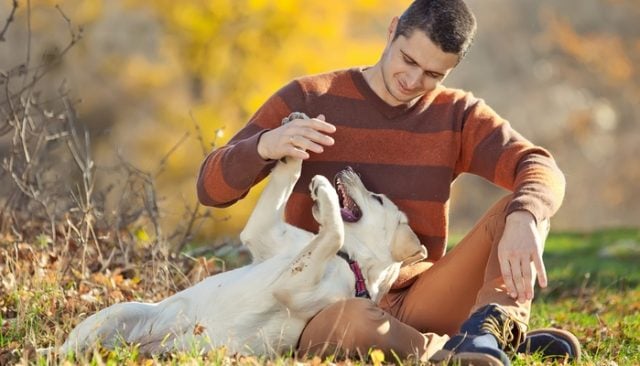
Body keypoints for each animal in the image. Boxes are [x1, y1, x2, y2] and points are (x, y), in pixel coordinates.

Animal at [62, 115, 428, 358]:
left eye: (377, 198)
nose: (349, 168)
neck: (349, 260)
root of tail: (143, 348)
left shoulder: (295, 287)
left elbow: (334, 233)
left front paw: (323, 192)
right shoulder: (266, 234)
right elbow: (291, 178)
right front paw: (295, 136)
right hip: (118, 313)